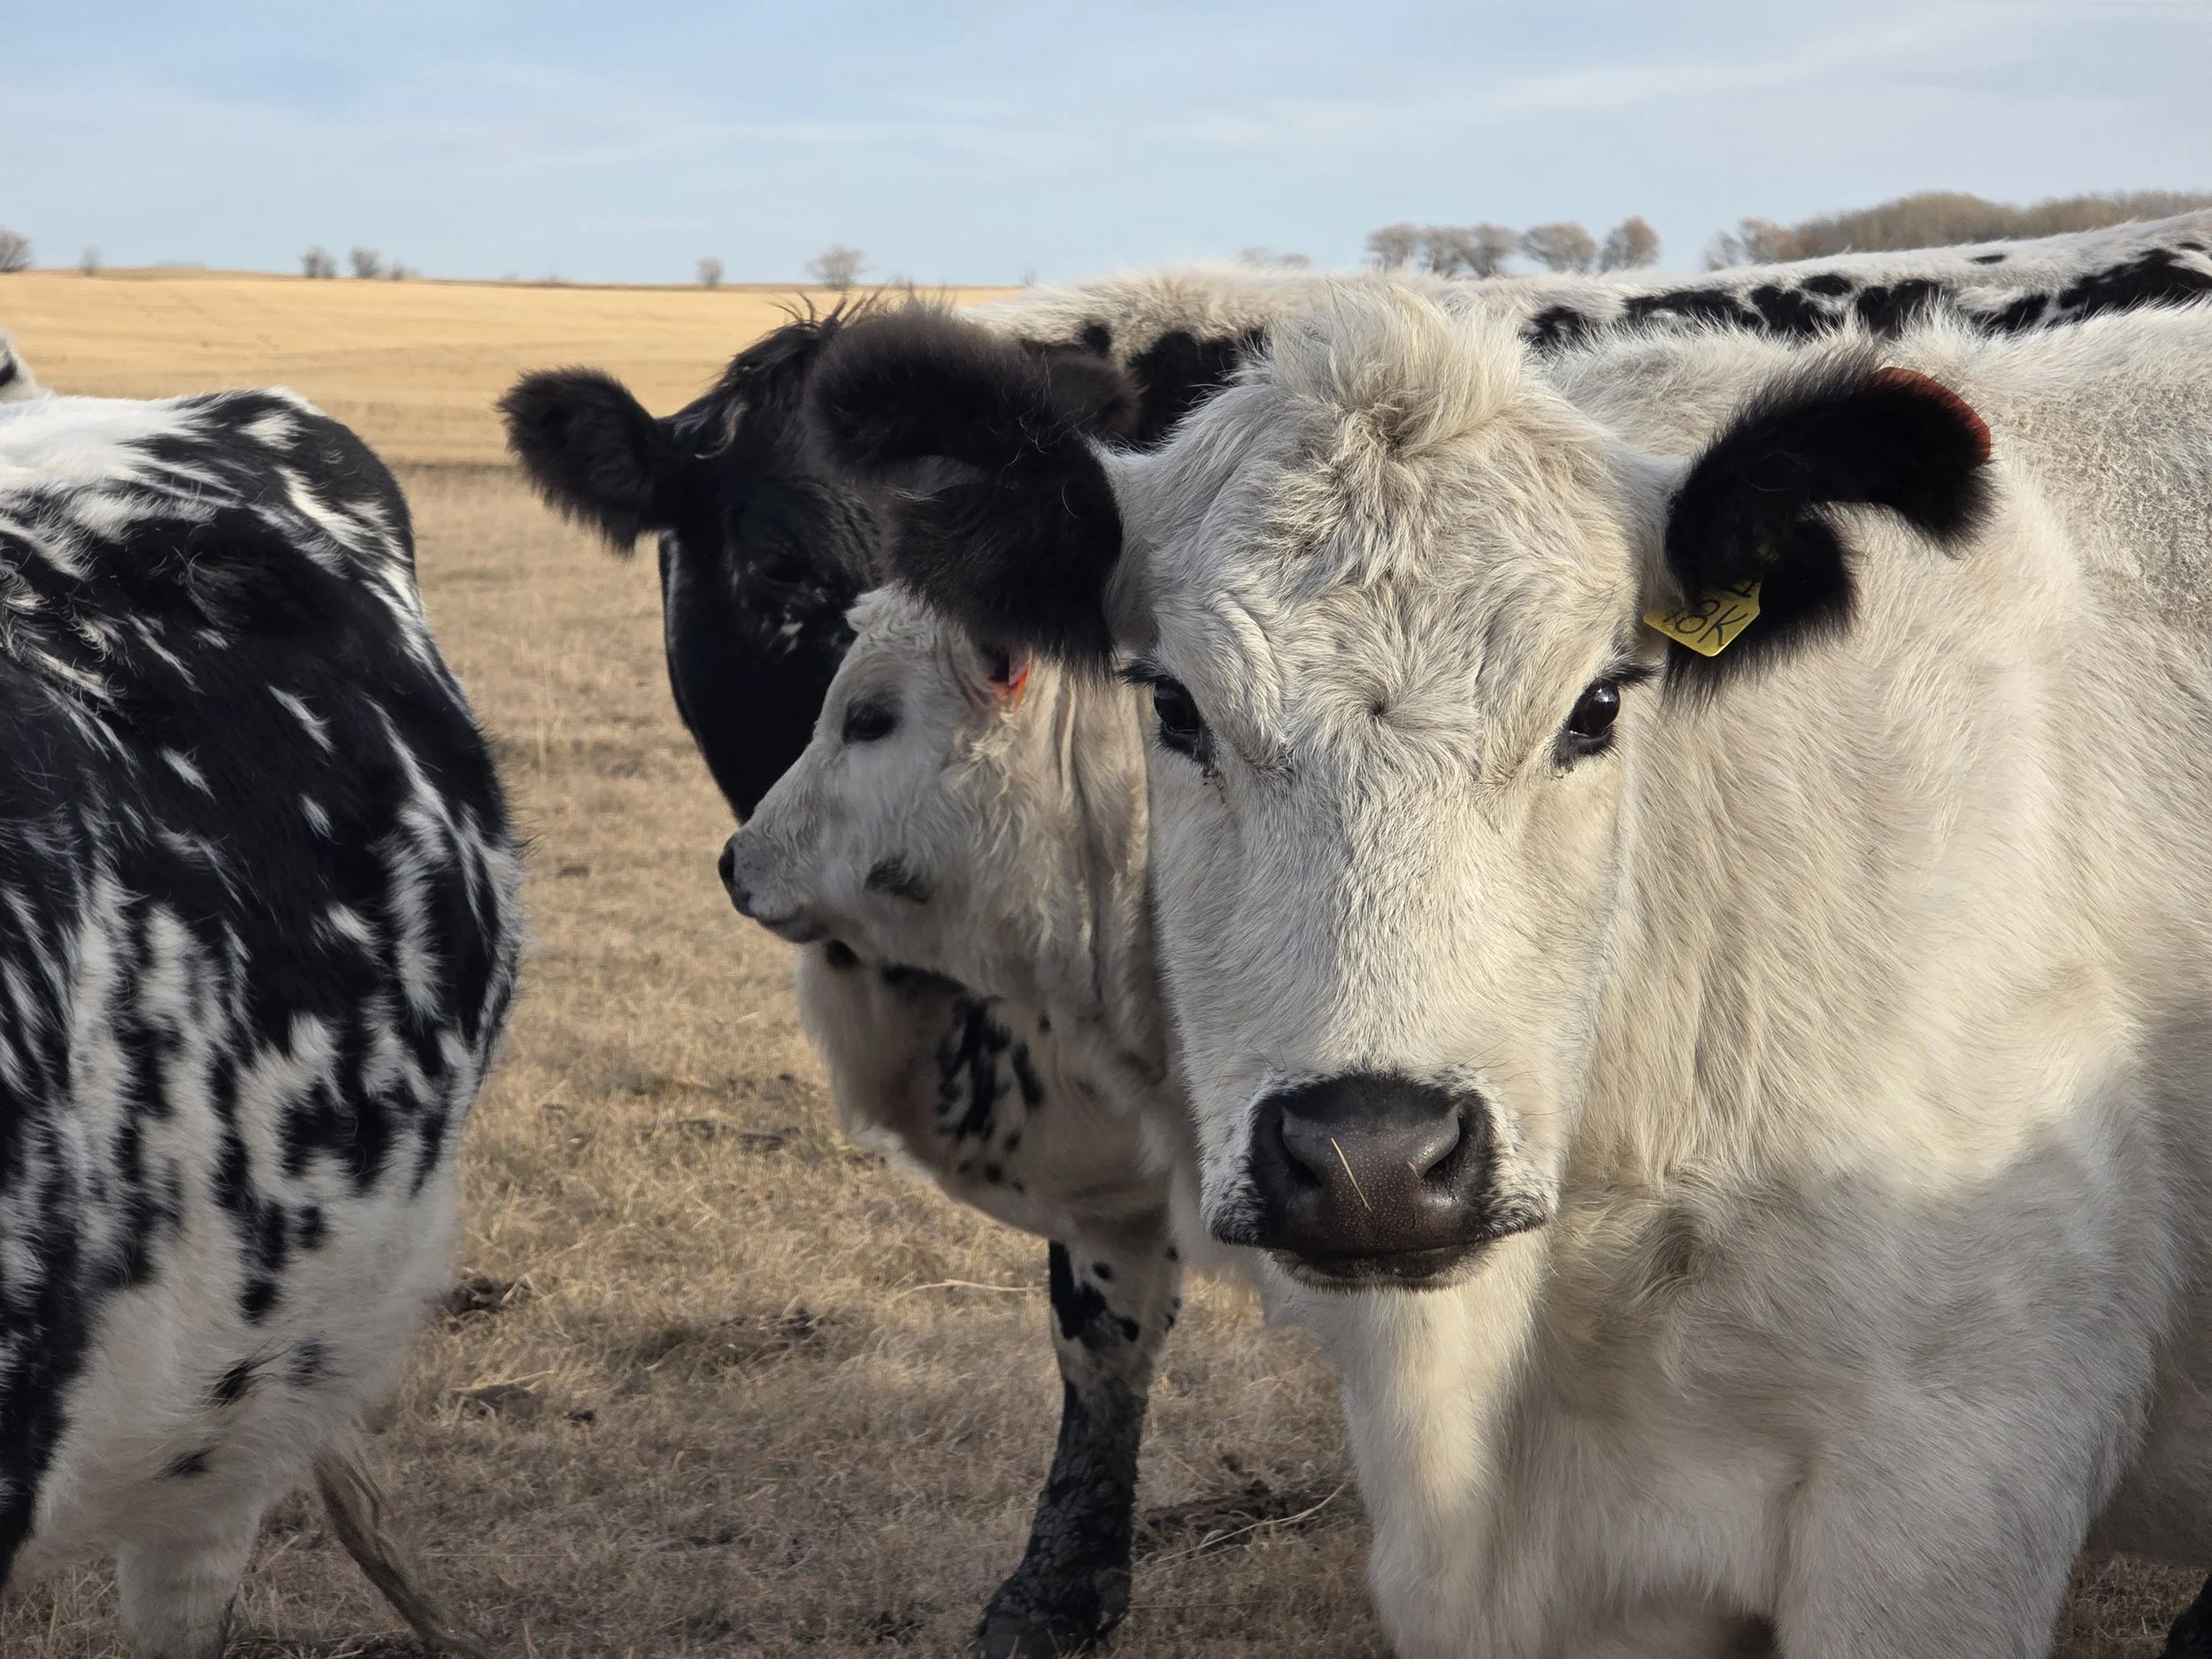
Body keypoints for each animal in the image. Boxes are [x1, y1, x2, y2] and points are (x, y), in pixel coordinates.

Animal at [502, 213, 2212, 1658]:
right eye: (1173, 700)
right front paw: (1055, 1588)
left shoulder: (1944, 1480)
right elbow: (1095, 1329)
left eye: (1602, 702)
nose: (1378, 1152)